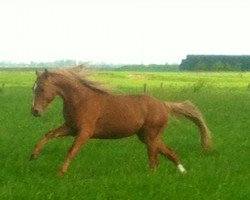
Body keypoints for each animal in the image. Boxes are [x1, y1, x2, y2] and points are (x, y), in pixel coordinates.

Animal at [30, 67, 212, 175]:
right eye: (33, 88)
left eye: (42, 88)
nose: (35, 111)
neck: (80, 100)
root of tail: (164, 105)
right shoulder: (70, 128)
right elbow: (49, 135)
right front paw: (33, 156)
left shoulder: (84, 132)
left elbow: (72, 150)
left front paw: (60, 173)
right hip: (147, 137)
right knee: (168, 152)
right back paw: (182, 171)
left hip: (150, 136)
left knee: (154, 158)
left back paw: (151, 176)